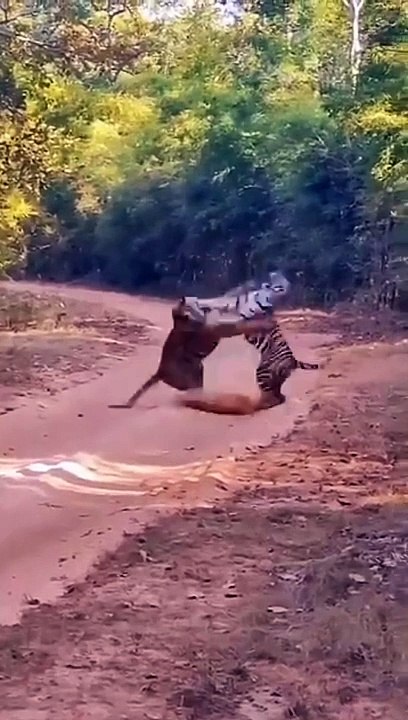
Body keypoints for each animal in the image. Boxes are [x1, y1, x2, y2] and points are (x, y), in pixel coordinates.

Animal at [108, 291, 282, 409]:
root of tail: (160, 371)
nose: (185, 299)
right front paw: (264, 322)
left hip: (198, 370)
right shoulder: (220, 328)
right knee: (191, 392)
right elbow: (240, 324)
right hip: (188, 379)